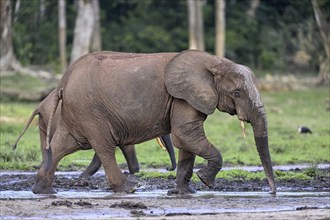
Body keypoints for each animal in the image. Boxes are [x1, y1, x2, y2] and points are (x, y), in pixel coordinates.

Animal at [33, 49, 276, 194]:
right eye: (236, 93)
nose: (272, 191)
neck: (214, 61)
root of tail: (64, 79)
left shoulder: (186, 98)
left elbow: (186, 140)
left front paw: (183, 192)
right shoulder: (182, 97)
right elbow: (185, 135)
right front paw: (205, 181)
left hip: (78, 111)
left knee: (62, 145)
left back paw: (42, 190)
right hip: (90, 111)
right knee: (104, 146)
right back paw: (129, 188)